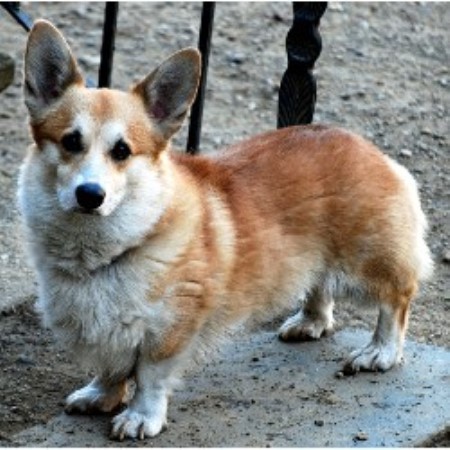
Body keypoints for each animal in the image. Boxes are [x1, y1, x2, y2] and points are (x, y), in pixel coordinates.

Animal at [18, 20, 432, 440]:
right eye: (71, 141)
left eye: (122, 151)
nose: (90, 195)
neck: (109, 249)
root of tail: (366, 146)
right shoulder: (105, 333)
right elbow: (110, 368)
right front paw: (100, 395)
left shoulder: (171, 328)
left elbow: (150, 377)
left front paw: (141, 417)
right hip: (309, 258)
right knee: (319, 286)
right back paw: (310, 321)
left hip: (365, 265)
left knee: (397, 298)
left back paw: (380, 351)